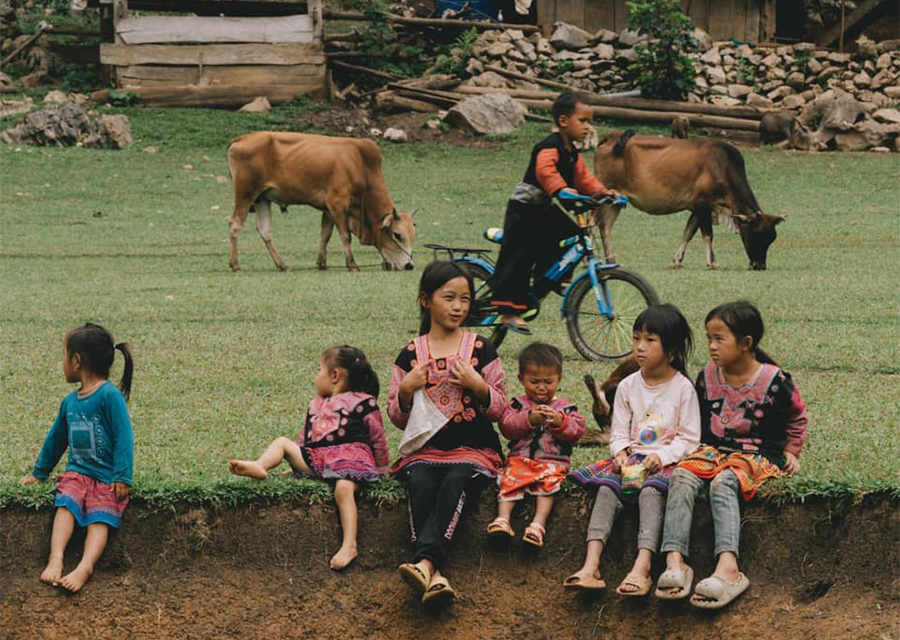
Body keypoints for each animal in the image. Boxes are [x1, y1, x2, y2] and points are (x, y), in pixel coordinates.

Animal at [226, 132, 416, 272]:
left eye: (413, 235)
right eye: (397, 235)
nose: (409, 265)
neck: (360, 165)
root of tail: (241, 139)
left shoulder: (328, 210)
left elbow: (325, 235)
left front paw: (322, 263)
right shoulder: (337, 204)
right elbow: (345, 235)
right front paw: (352, 264)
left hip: (262, 198)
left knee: (265, 231)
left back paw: (282, 265)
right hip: (246, 194)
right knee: (235, 224)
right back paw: (235, 264)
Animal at [592, 130, 785, 271]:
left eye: (771, 238)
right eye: (756, 235)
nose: (760, 266)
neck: (721, 166)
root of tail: (610, 137)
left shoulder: (698, 208)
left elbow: (688, 233)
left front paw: (677, 260)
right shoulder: (703, 204)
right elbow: (708, 234)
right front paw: (711, 263)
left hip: (616, 201)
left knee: (605, 228)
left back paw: (612, 260)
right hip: (600, 195)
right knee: (593, 223)